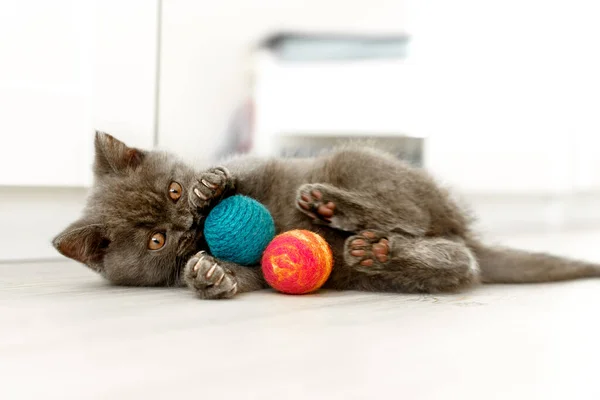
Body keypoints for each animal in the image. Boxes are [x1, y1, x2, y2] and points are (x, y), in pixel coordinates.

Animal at [52, 133, 600, 298]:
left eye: (173, 189)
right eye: (156, 242)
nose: (187, 224)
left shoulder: (259, 163)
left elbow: (245, 173)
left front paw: (211, 190)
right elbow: (248, 275)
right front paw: (210, 274)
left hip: (358, 162)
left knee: (408, 215)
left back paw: (332, 205)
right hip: (375, 267)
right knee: (459, 260)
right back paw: (379, 250)